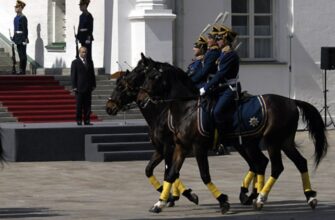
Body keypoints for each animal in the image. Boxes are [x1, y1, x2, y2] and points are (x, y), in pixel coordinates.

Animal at [106, 63, 198, 208]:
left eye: (120, 86)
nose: (109, 107)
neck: (159, 114)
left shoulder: (168, 148)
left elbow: (169, 172)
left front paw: (178, 196)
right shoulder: (160, 149)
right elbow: (149, 170)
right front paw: (171, 196)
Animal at [141, 58, 328, 213]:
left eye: (154, 76)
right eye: (145, 75)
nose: (143, 96)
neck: (187, 108)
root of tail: (291, 101)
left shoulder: (198, 147)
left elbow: (204, 175)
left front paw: (223, 201)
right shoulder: (181, 147)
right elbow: (171, 173)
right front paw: (160, 203)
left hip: (271, 141)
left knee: (275, 167)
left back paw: (260, 198)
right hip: (282, 142)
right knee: (298, 162)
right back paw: (309, 196)